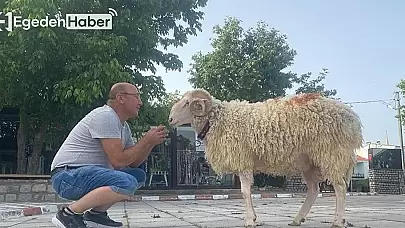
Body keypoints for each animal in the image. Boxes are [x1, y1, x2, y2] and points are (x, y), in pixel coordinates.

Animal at [166, 89, 362, 228]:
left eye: (187, 103)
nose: (170, 119)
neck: (218, 120)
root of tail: (353, 119)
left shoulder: (243, 161)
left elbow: (245, 192)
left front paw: (250, 220)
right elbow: (247, 192)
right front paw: (252, 218)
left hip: (331, 154)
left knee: (340, 188)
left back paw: (338, 221)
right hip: (310, 162)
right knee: (314, 190)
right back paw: (297, 219)